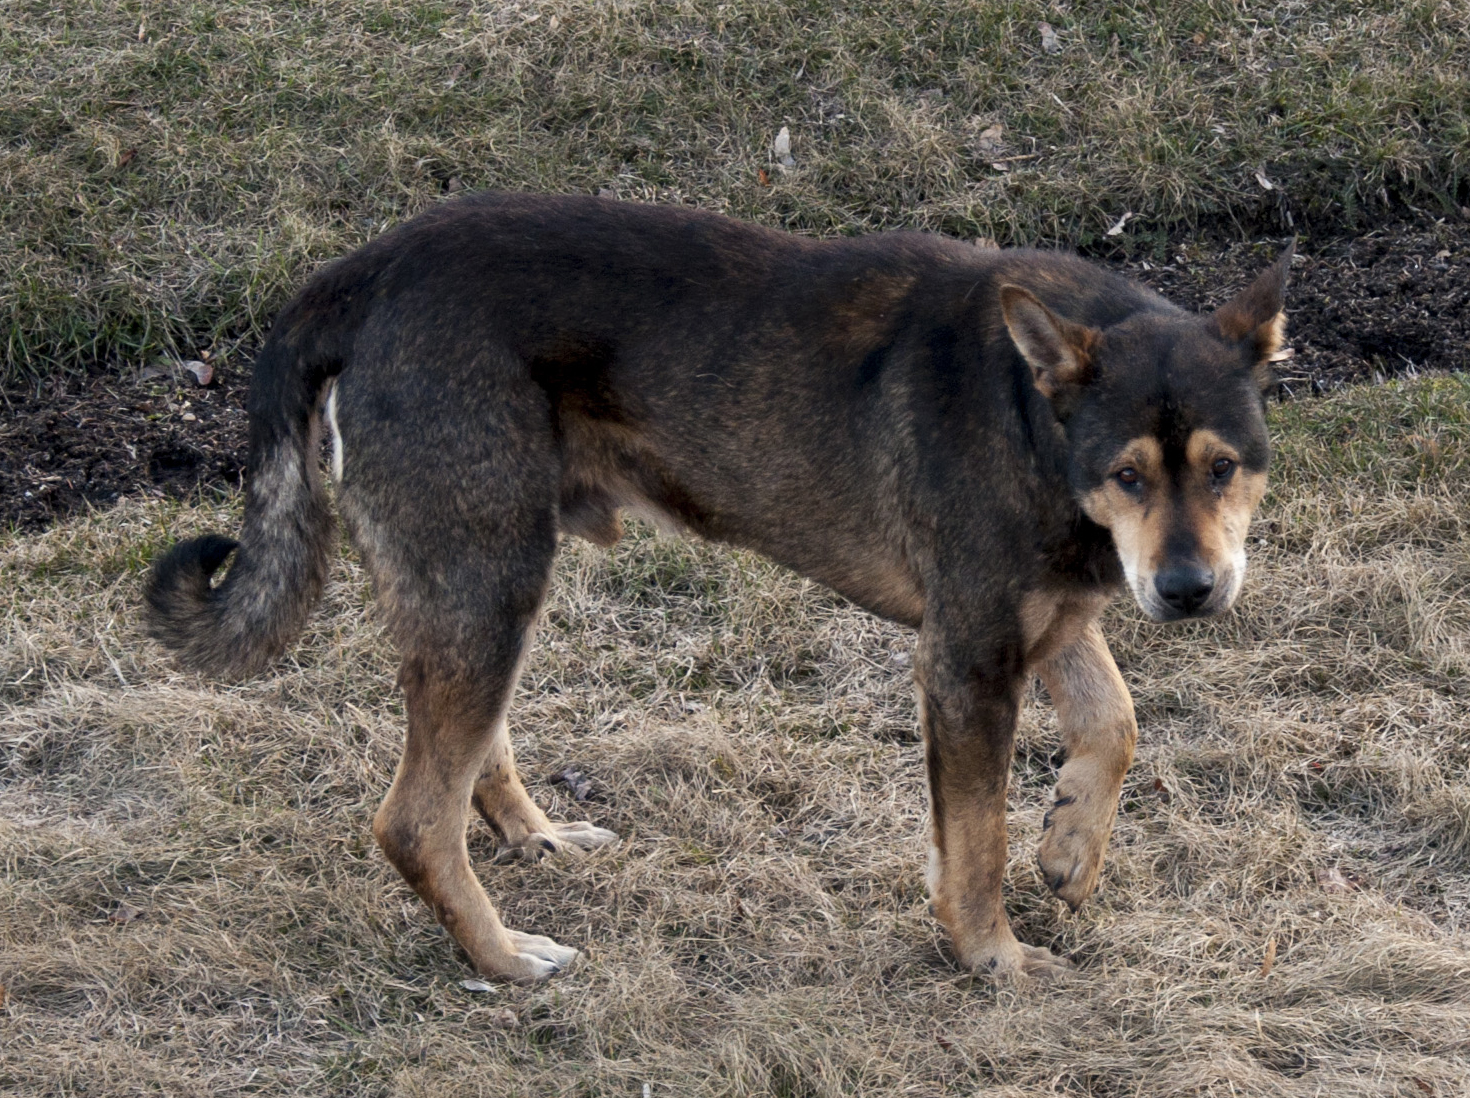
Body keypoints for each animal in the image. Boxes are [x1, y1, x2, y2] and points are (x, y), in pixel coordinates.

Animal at [146, 192, 1299, 981]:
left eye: (1223, 467)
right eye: (1128, 474)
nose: (1190, 590)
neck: (1035, 414)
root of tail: (366, 268)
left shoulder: (1047, 617)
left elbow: (1117, 723)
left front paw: (1069, 849)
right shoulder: (969, 657)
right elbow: (976, 840)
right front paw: (994, 959)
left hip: (488, 583)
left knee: (469, 758)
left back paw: (535, 836)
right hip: (486, 577)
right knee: (411, 820)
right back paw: (508, 960)